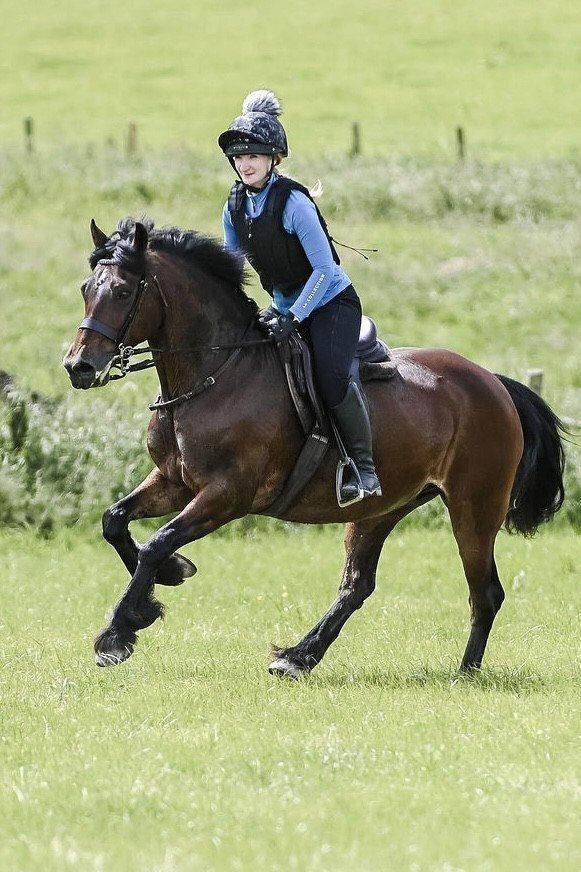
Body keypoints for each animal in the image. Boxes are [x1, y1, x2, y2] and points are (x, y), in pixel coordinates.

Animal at [63, 217, 566, 676]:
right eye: (86, 288)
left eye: (123, 292)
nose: (78, 367)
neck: (215, 373)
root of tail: (493, 383)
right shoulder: (174, 481)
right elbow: (115, 521)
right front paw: (169, 578)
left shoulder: (227, 495)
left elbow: (157, 542)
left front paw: (118, 633)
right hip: (382, 507)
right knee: (356, 586)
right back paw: (298, 656)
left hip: (473, 508)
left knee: (486, 592)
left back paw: (465, 672)